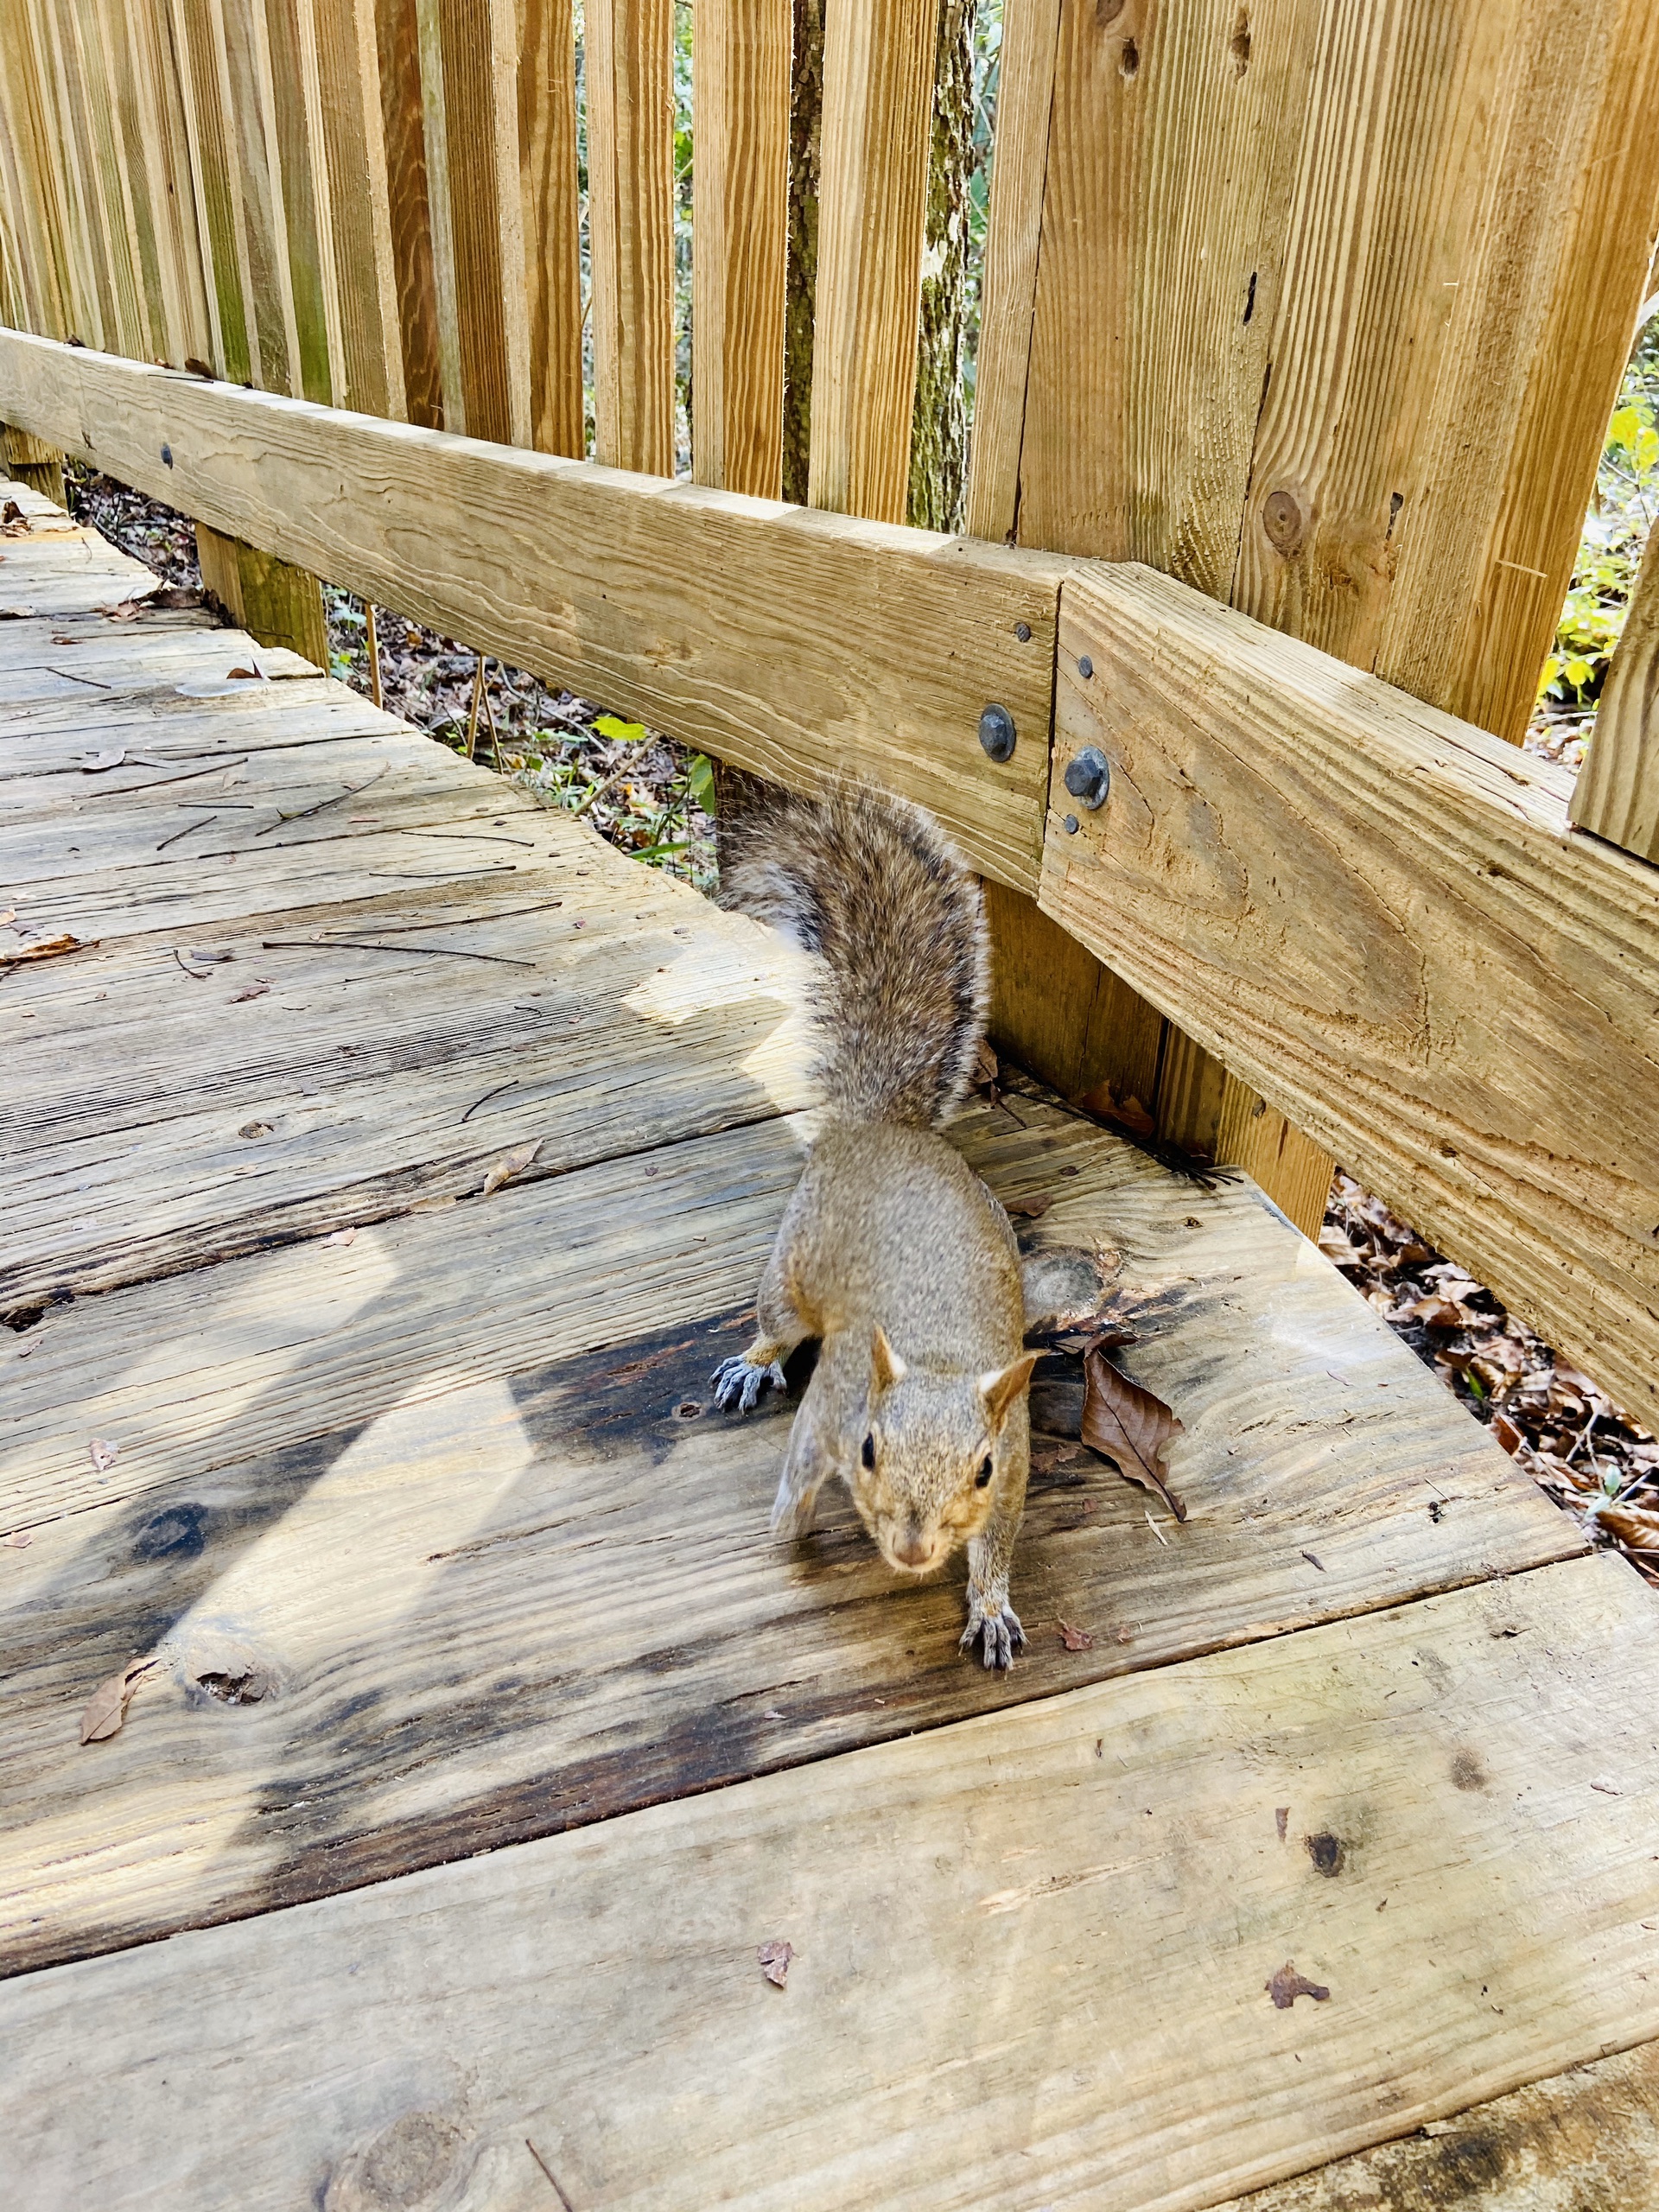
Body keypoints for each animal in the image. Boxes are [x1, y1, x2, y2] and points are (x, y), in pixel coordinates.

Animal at [712, 774, 1044, 1663]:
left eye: (981, 1470)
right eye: (867, 1447)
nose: (915, 1548)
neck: (935, 1354)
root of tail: (879, 1127)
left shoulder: (1016, 1459)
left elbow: (999, 1541)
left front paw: (990, 1605)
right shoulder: (828, 1409)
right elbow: (798, 1469)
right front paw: (785, 1530)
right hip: (792, 1266)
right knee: (777, 1321)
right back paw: (754, 1361)